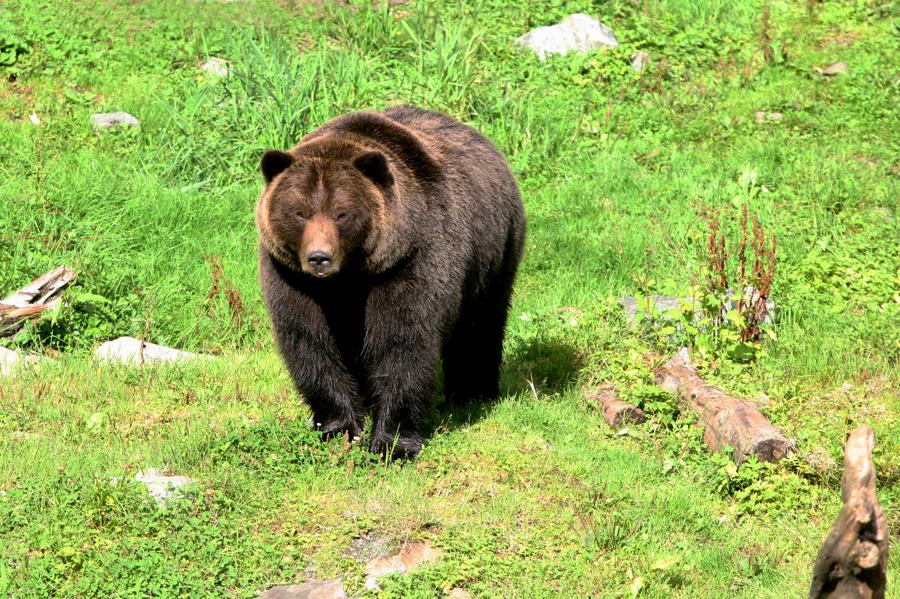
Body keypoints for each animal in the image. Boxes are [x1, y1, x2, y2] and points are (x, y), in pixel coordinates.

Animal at [256, 105, 525, 458]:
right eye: (300, 212)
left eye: (341, 213)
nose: (319, 258)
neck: (349, 277)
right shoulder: (293, 279)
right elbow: (309, 342)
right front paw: (338, 428)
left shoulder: (409, 261)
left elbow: (402, 342)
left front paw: (393, 443)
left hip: (493, 252)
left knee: (479, 323)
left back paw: (473, 393)